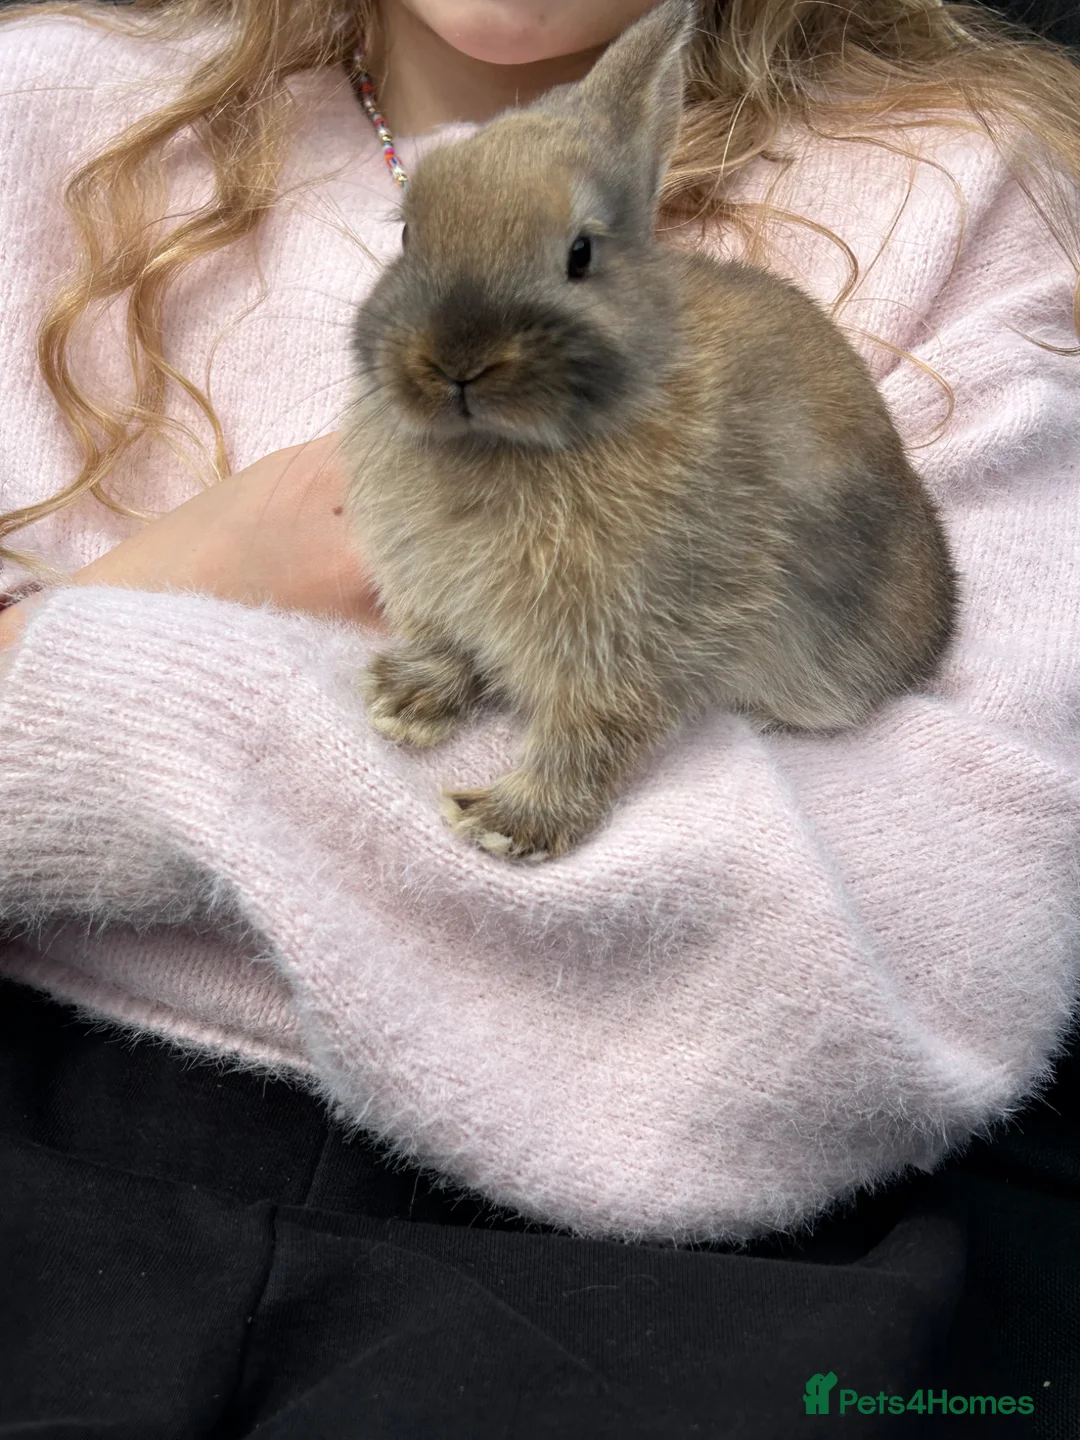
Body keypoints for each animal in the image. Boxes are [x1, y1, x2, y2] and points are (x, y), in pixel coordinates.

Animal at [343, 0, 958, 861]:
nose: (455, 361)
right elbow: (452, 654)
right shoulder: (450, 607)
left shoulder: (626, 641)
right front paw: (403, 702)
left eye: (580, 253)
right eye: (407, 236)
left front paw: (508, 823)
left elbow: (589, 731)